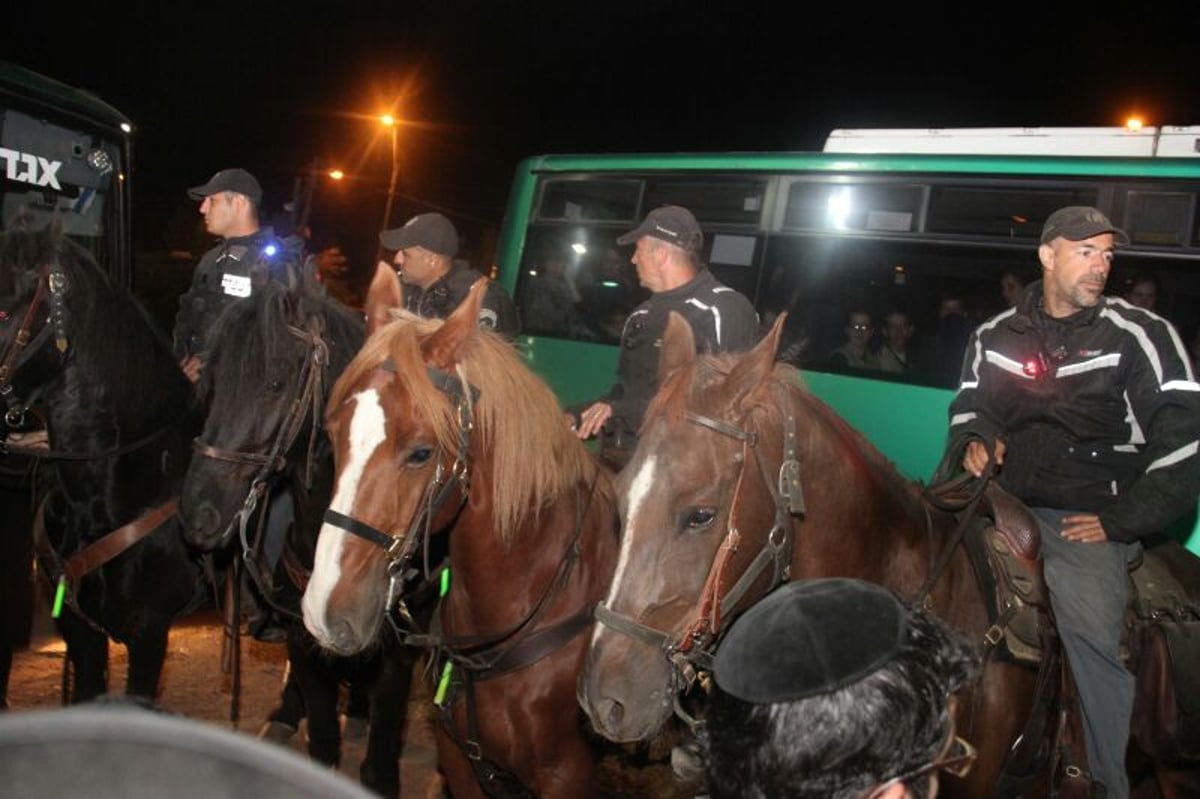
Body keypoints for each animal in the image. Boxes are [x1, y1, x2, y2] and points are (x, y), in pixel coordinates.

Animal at [177, 271, 422, 791]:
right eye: (211, 382)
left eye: (273, 384)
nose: (197, 514)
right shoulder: (301, 637)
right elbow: (322, 737)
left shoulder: (397, 660)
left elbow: (380, 754)